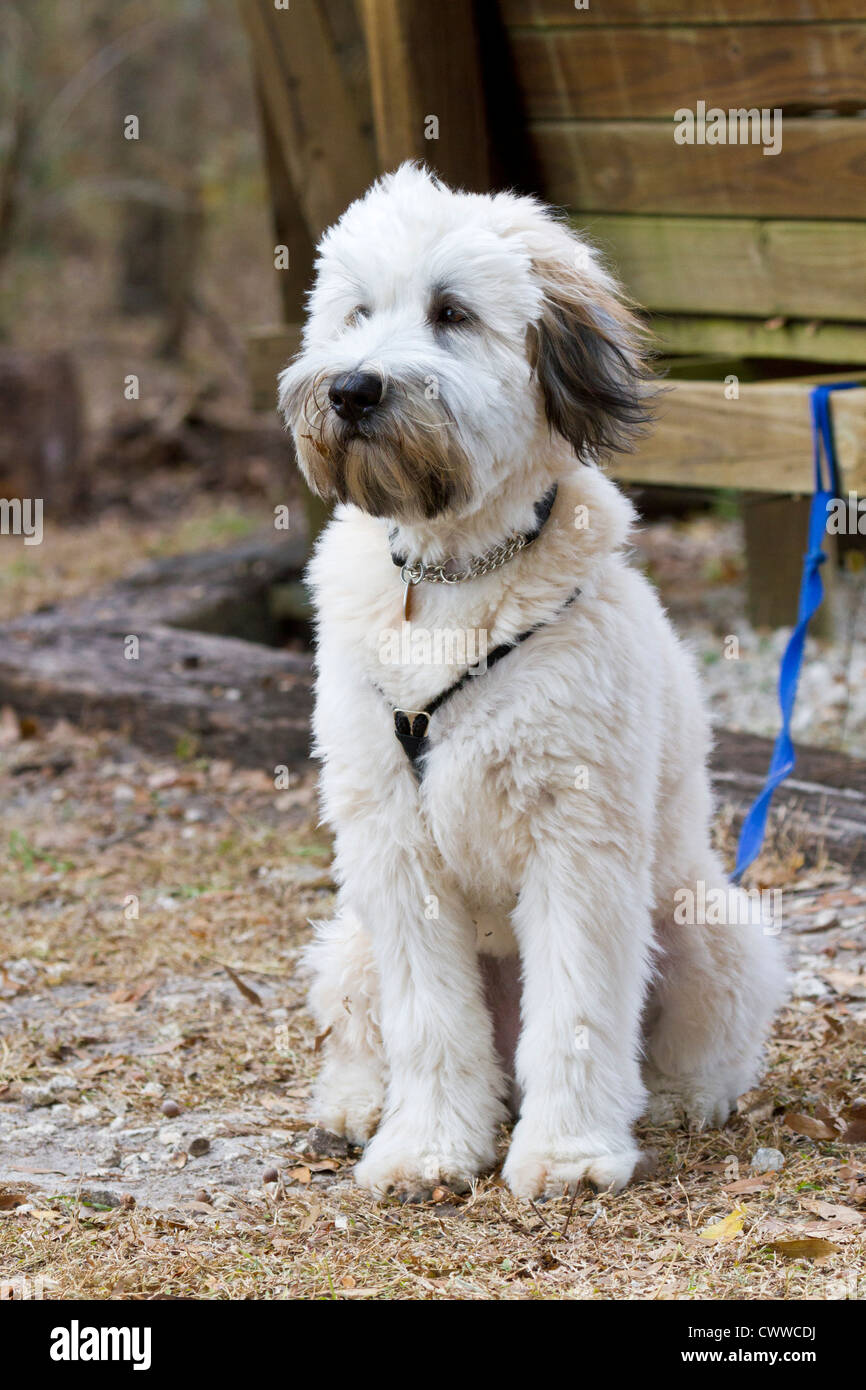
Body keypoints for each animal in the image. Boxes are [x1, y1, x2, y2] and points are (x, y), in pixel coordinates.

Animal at [280, 162, 789, 1200]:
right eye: (357, 312)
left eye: (451, 312)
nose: (351, 389)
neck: (450, 579)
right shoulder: (395, 850)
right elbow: (429, 1023)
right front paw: (427, 1146)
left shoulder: (577, 840)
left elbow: (580, 1013)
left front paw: (568, 1152)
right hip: (350, 936)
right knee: (367, 1029)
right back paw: (356, 1105)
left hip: (703, 922)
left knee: (696, 1038)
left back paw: (672, 1101)